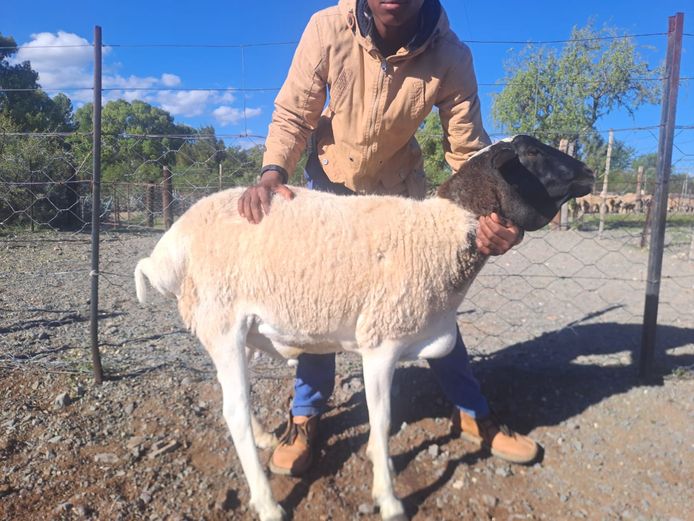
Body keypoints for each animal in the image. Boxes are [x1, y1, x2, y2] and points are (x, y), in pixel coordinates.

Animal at [134, 135, 594, 521]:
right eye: (530, 152)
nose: (588, 172)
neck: (438, 232)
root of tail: (168, 247)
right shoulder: (380, 345)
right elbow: (383, 420)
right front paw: (388, 499)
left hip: (238, 329)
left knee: (237, 402)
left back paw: (267, 439)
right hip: (222, 323)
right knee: (233, 413)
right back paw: (267, 504)